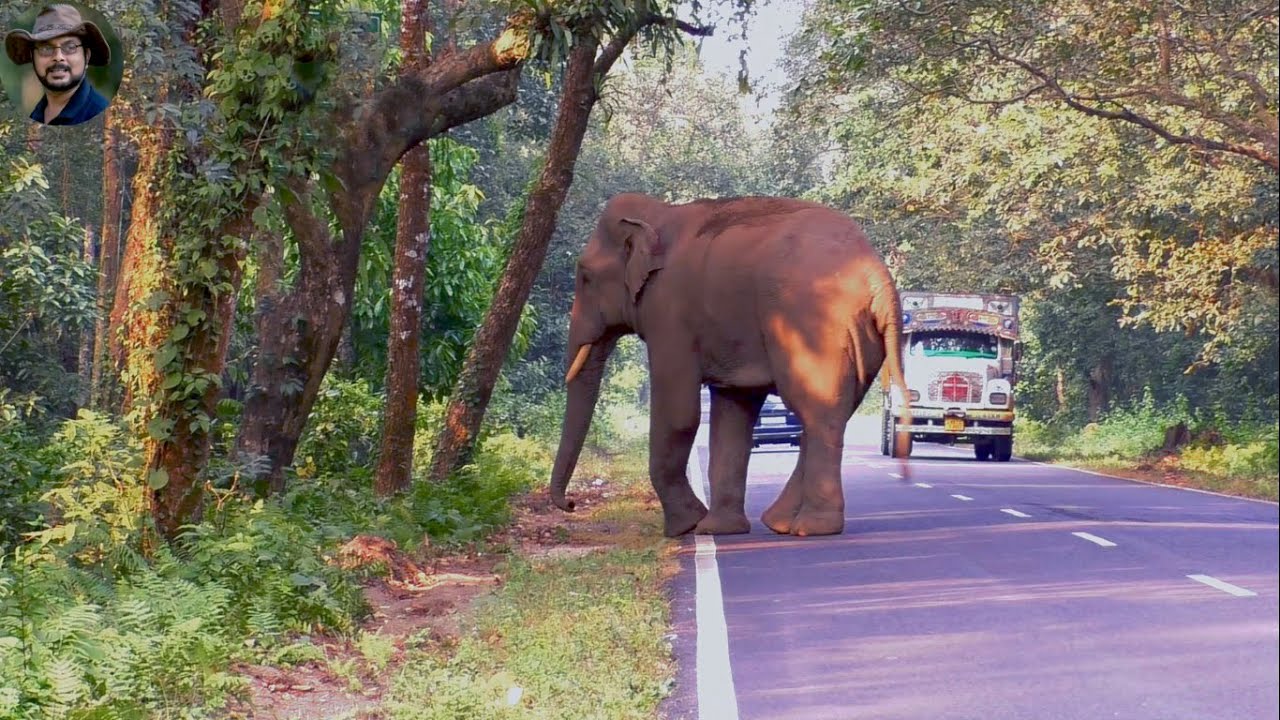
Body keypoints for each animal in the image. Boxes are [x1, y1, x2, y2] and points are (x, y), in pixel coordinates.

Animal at [549, 193, 910, 538]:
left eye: (585, 278)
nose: (571, 503)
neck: (659, 213)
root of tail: (878, 276)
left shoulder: (669, 312)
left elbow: (679, 413)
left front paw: (685, 527)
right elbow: (731, 414)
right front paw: (716, 529)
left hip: (816, 326)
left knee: (819, 413)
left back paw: (811, 528)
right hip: (859, 337)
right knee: (830, 411)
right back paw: (780, 523)